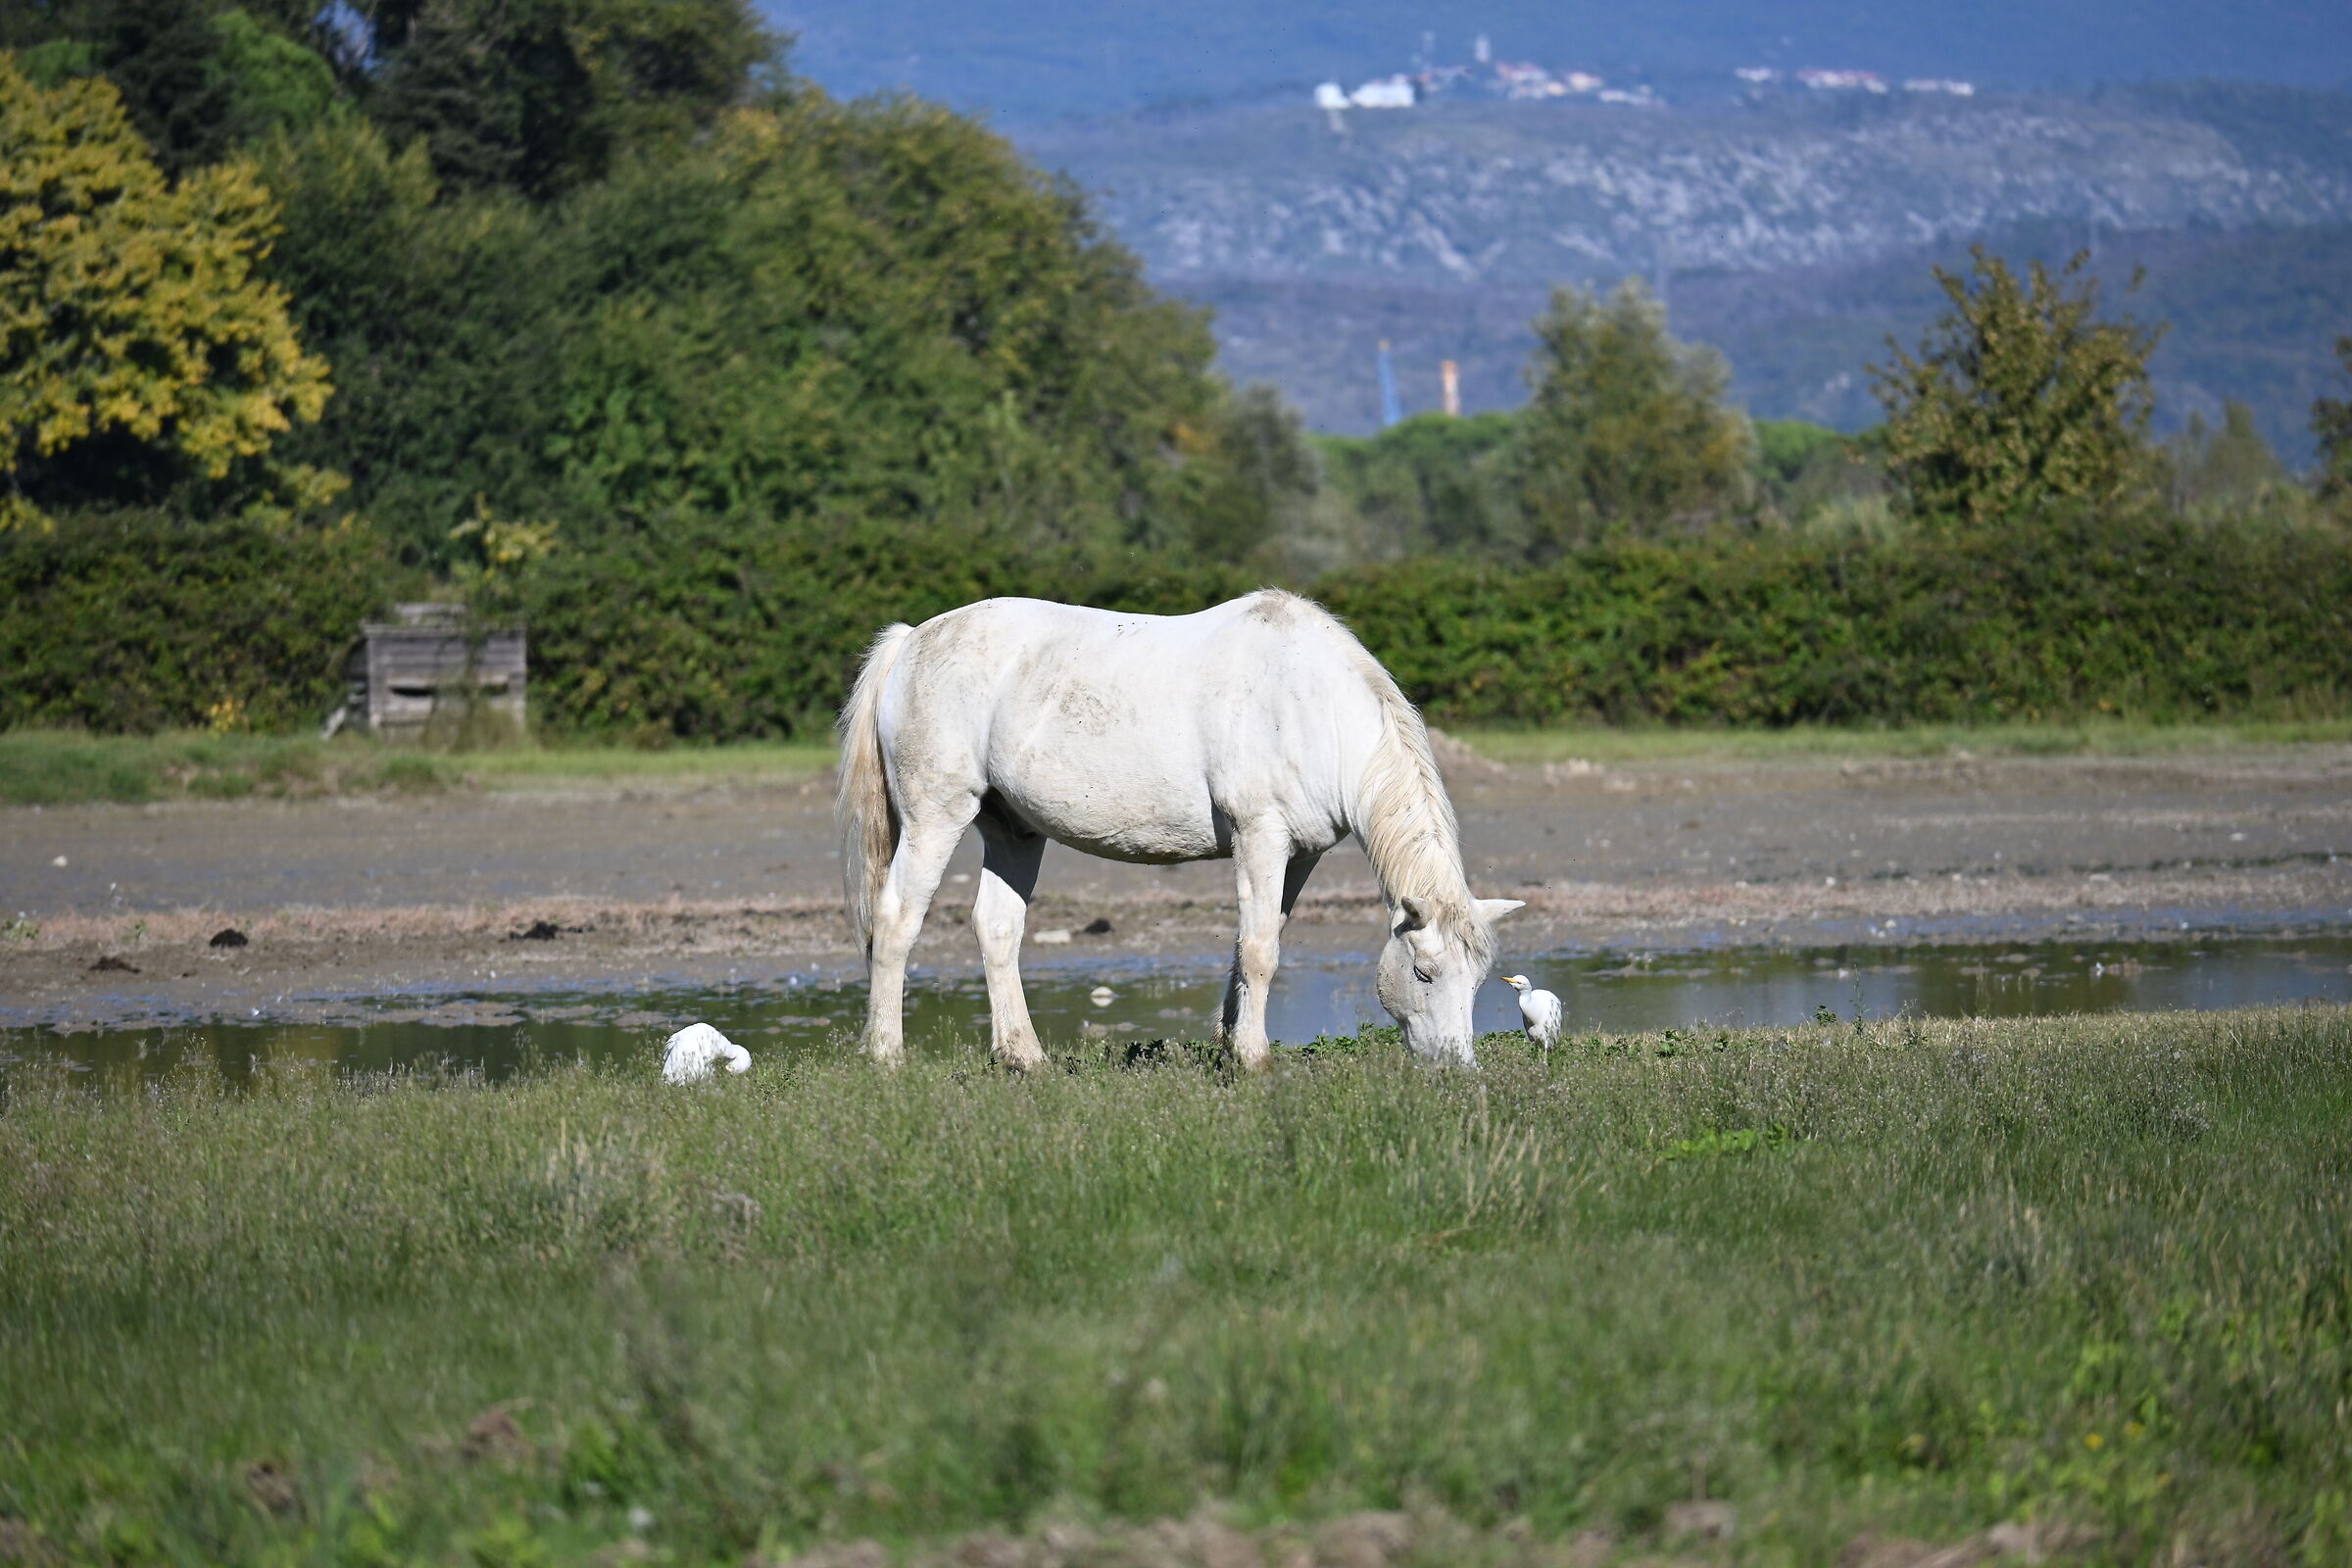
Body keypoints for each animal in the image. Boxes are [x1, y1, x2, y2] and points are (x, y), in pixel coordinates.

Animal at [835, 589, 1523, 1069]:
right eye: (1425, 974)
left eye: (1478, 980)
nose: (1456, 1069)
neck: (1309, 705)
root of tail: (911, 641)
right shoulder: (1259, 838)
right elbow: (1261, 951)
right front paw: (1252, 1060)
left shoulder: (1298, 856)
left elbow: (1256, 941)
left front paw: (1228, 1041)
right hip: (937, 816)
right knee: (896, 922)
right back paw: (887, 1058)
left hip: (1014, 834)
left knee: (998, 929)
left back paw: (1025, 1059)